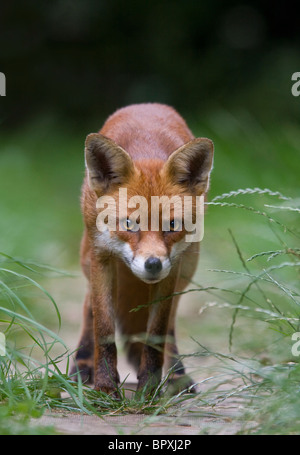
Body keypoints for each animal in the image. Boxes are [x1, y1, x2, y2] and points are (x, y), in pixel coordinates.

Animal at [71, 105, 214, 398]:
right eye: (129, 224)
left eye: (172, 226)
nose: (153, 264)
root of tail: (147, 104)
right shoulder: (101, 258)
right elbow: (104, 329)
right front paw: (105, 387)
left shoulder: (173, 268)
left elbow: (156, 334)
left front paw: (149, 389)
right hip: (88, 260)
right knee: (89, 307)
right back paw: (81, 366)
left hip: (187, 268)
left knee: (169, 328)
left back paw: (177, 377)